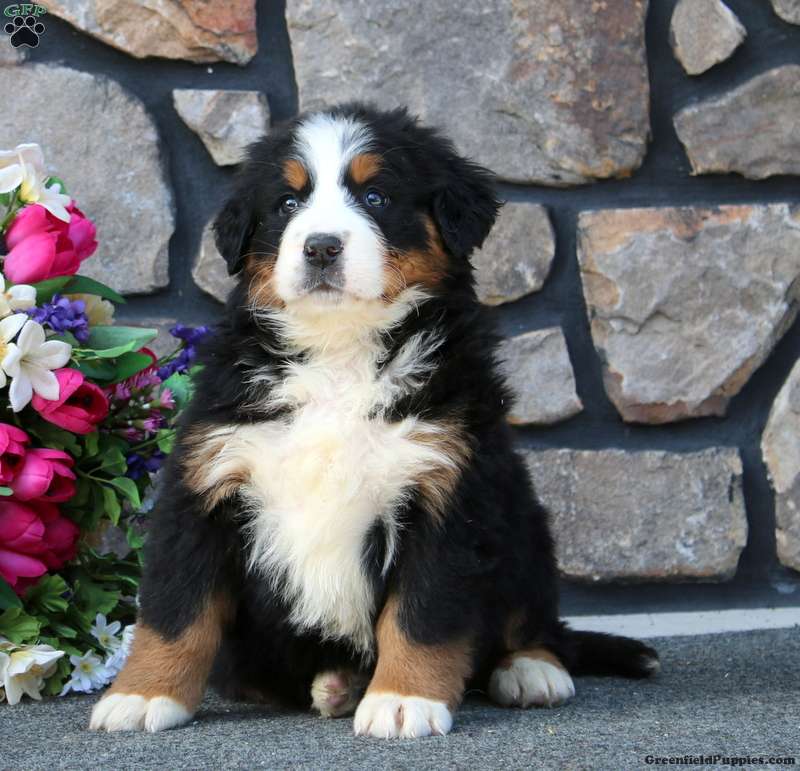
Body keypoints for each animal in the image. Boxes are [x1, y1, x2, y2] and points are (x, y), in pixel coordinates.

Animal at [89, 103, 659, 737]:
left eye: (376, 197)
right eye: (288, 203)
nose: (320, 247)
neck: (340, 352)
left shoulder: (448, 491)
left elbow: (421, 614)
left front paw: (405, 699)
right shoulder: (206, 480)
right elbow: (175, 609)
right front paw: (143, 694)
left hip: (522, 522)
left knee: (533, 619)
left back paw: (531, 670)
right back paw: (336, 684)